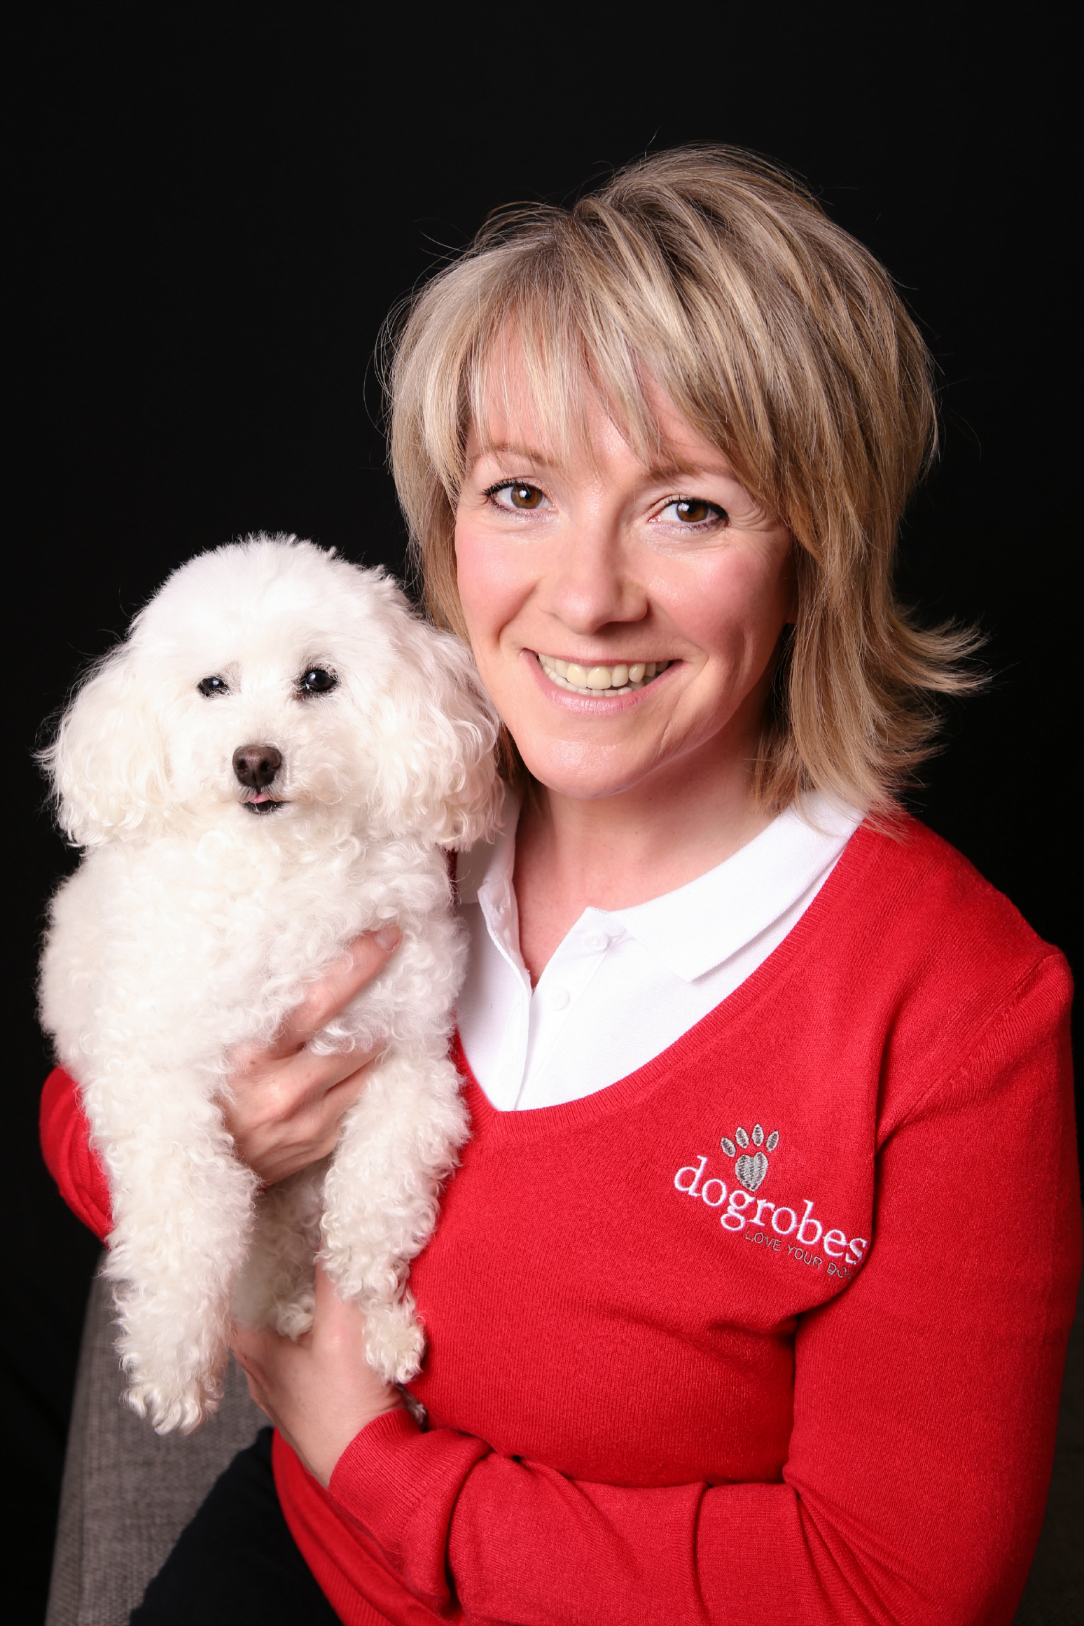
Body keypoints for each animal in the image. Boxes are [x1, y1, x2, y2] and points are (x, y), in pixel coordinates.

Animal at [38, 526, 503, 1430]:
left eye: (317, 680)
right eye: (212, 685)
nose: (255, 761)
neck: (286, 873)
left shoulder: (410, 1061)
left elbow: (379, 1186)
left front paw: (370, 1293)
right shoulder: (155, 1081)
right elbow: (190, 1215)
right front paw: (174, 1362)